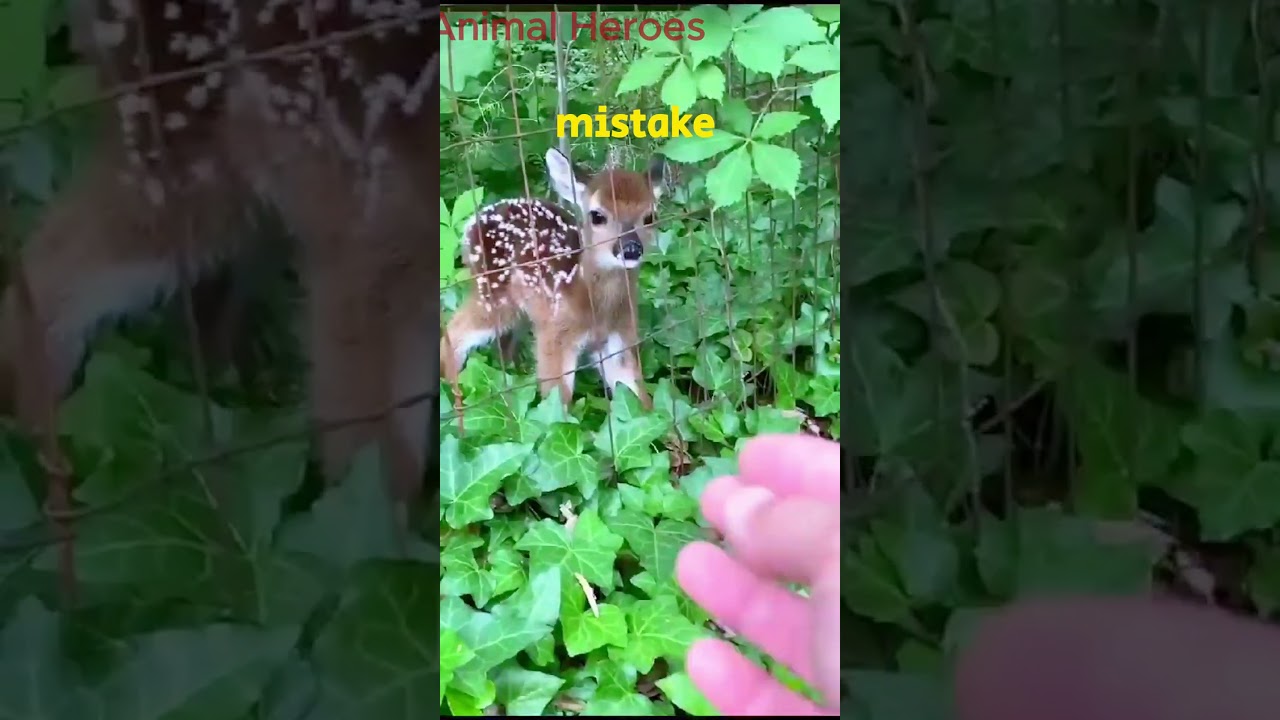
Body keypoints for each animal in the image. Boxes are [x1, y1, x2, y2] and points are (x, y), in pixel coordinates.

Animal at [440, 147, 663, 412]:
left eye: (650, 216)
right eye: (597, 215)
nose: (630, 248)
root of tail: (471, 224)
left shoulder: (621, 335)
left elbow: (639, 397)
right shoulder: (555, 335)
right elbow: (557, 402)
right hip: (494, 294)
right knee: (455, 332)